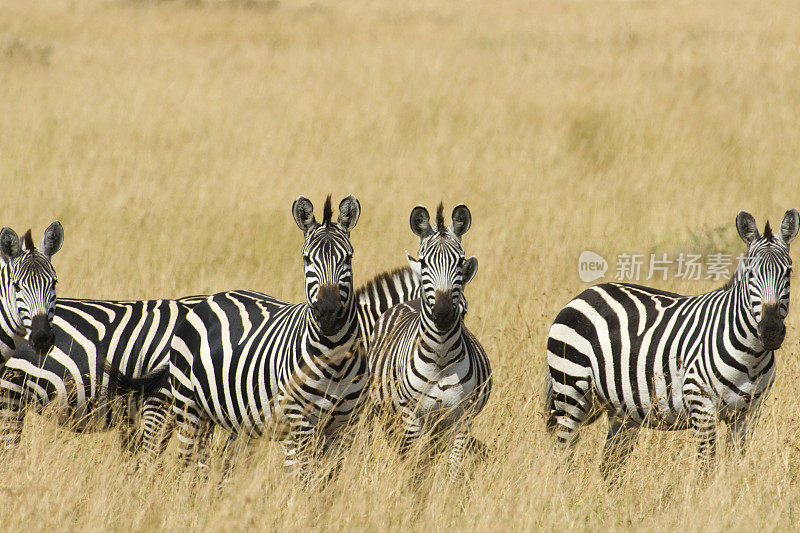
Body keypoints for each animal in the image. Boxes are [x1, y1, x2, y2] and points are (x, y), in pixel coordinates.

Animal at [370, 202, 494, 480]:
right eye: (425, 262)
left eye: (459, 261)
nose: (444, 313)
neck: (441, 354)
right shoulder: (410, 416)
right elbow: (416, 469)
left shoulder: (461, 416)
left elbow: (453, 469)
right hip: (388, 415)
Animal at [548, 209, 796, 474]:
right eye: (751, 274)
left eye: (788, 272)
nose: (770, 331)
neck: (752, 357)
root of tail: (587, 292)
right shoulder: (700, 402)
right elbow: (706, 465)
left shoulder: (748, 413)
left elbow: (734, 466)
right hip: (570, 391)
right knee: (562, 455)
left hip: (622, 409)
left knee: (610, 464)